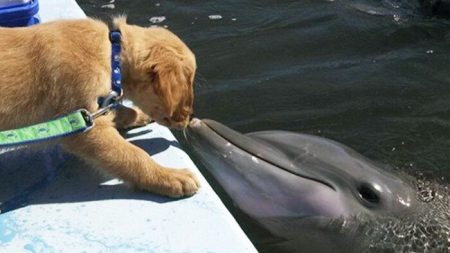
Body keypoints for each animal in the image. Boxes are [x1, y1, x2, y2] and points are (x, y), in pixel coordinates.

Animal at [0, 17, 200, 198]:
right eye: (187, 88)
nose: (190, 120)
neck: (113, 56)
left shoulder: (94, 110)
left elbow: (120, 110)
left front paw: (139, 115)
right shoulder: (84, 127)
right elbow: (133, 155)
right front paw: (170, 177)